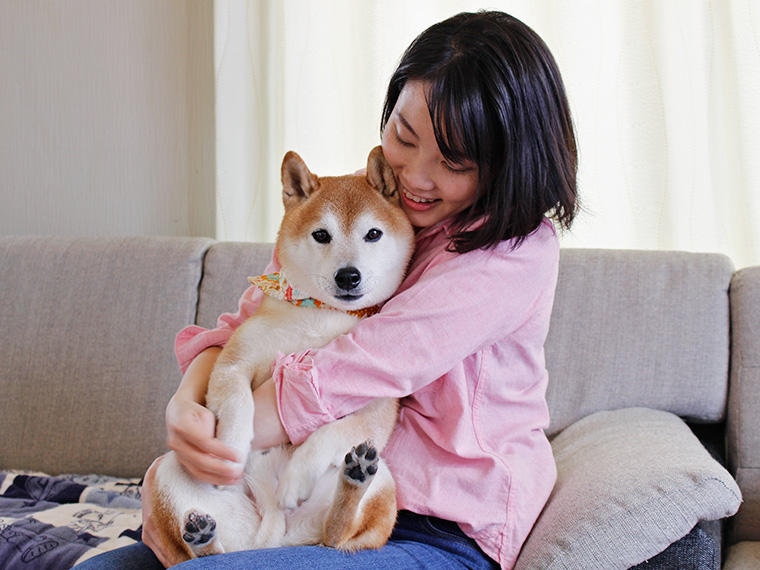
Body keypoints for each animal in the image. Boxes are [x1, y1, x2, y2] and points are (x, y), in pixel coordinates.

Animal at [151, 146, 412, 560]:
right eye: (321, 235)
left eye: (373, 234)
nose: (348, 275)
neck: (320, 315)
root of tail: (275, 535)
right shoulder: (234, 363)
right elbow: (239, 401)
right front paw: (232, 447)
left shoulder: (377, 406)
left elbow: (332, 430)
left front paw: (297, 475)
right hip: (171, 470)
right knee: (207, 553)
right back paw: (203, 537)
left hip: (381, 480)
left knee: (336, 534)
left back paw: (353, 478)